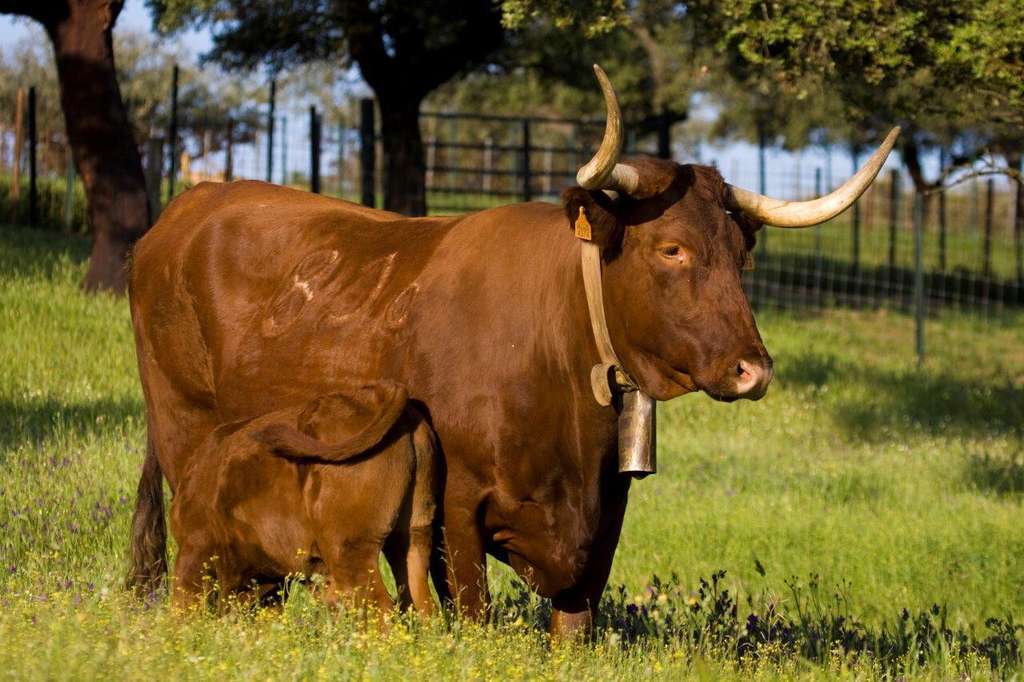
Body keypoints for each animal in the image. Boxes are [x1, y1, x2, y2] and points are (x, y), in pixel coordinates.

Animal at [169, 380, 438, 615]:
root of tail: (373, 395)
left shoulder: (194, 552)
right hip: (413, 535)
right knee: (422, 603)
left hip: (350, 550)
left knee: (381, 606)